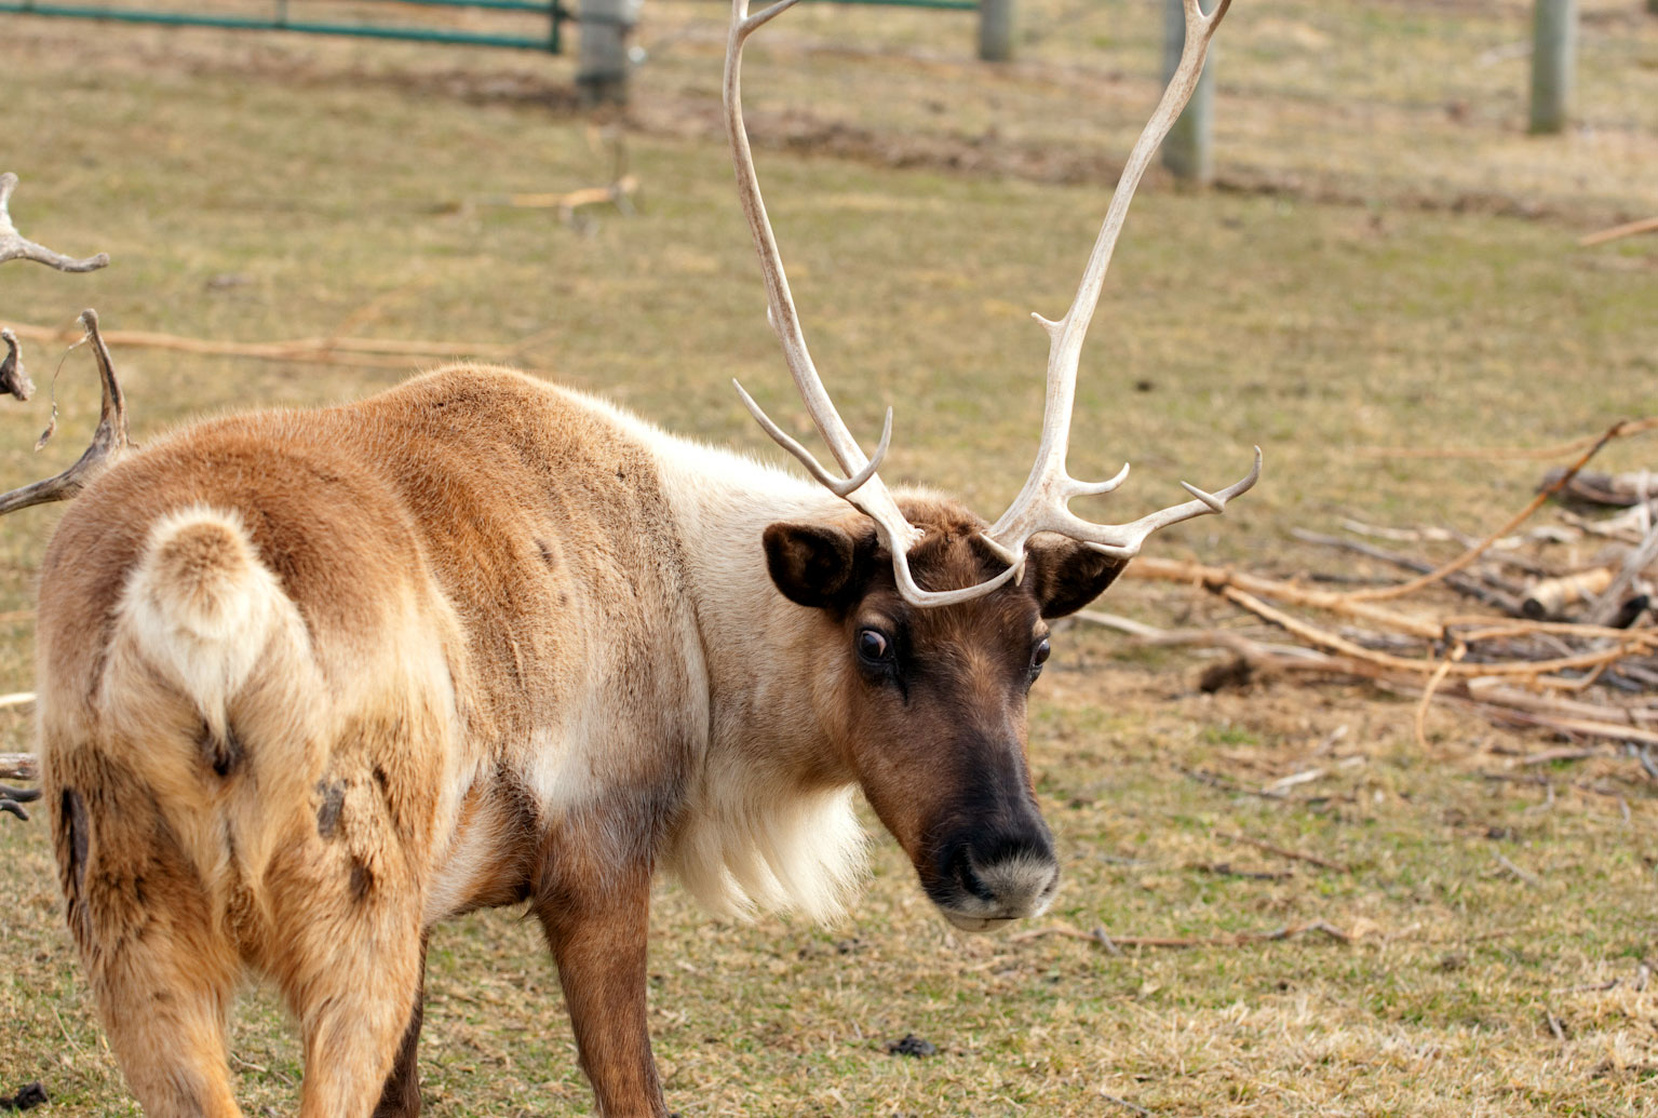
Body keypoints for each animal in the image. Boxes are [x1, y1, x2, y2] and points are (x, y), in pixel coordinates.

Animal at [6, 0, 1254, 1115]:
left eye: (1038, 648)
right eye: (874, 639)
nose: (1009, 867)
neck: (699, 615)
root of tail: (199, 586)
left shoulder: (433, 920)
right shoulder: (598, 858)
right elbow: (631, 1088)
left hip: (132, 919)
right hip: (347, 909)